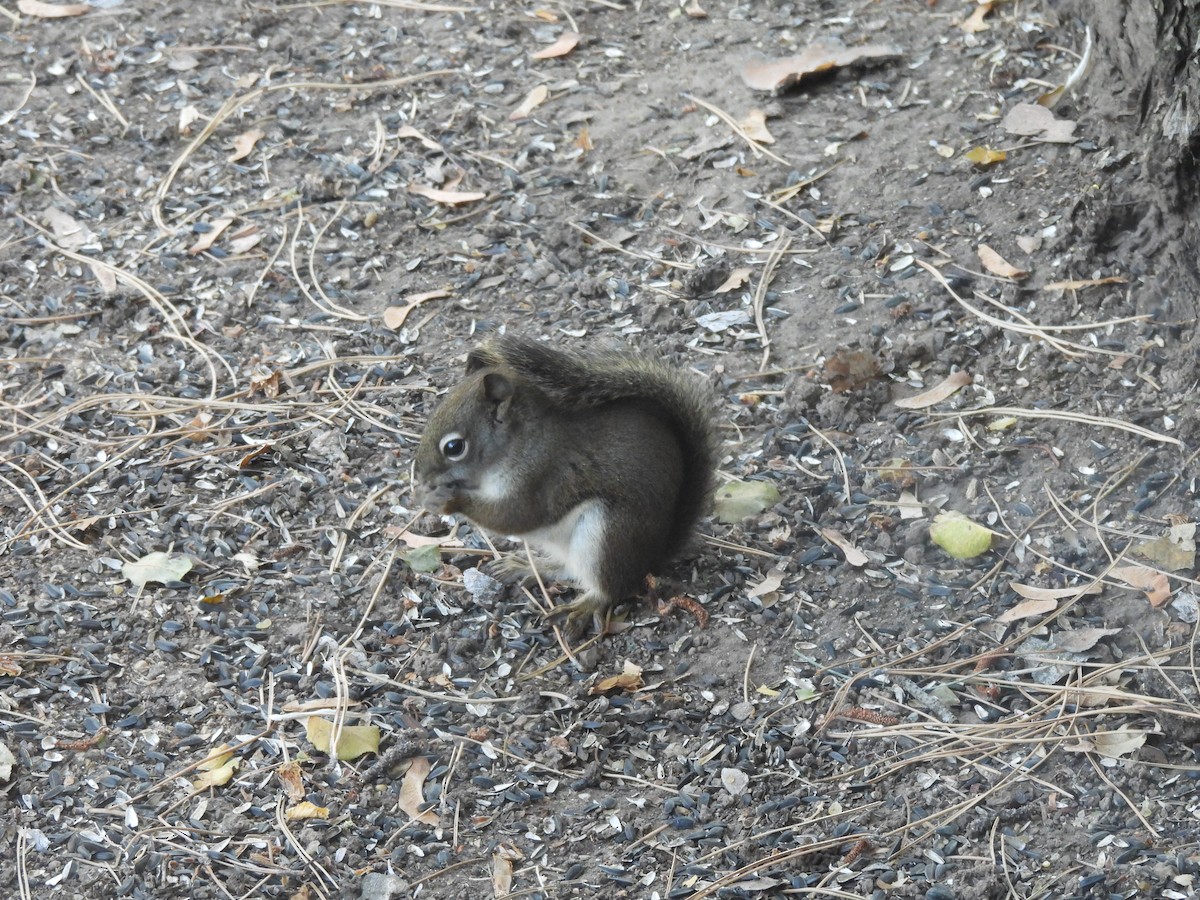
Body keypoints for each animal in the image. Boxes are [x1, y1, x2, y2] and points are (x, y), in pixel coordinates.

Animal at [414, 333, 718, 634]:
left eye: (454, 447)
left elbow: (515, 516)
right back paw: (527, 565)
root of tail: (653, 558)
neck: (520, 443)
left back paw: (582, 607)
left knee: (611, 588)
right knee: (567, 568)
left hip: (606, 537)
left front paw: (446, 501)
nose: (421, 477)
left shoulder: (541, 476)